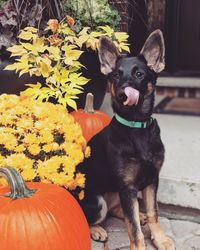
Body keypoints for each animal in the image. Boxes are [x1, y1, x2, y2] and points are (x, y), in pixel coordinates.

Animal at [78, 30, 175, 249]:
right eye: (115, 76)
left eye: (139, 74)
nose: (123, 94)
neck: (136, 126)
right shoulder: (128, 187)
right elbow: (133, 227)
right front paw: (140, 245)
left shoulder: (151, 180)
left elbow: (153, 212)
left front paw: (160, 238)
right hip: (98, 201)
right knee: (89, 217)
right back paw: (97, 230)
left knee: (120, 209)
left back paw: (140, 215)